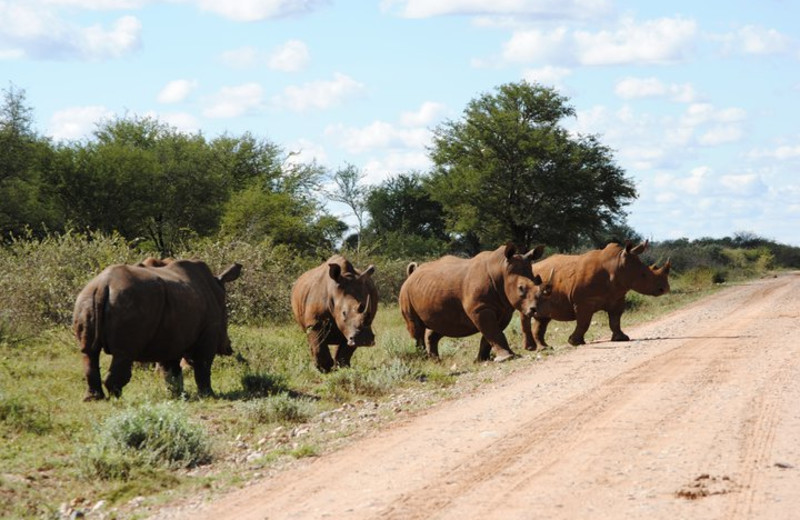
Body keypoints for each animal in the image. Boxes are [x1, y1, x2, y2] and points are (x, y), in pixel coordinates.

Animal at [73, 258, 242, 400]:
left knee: (89, 352)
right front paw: (208, 395)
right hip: (129, 302)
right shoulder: (208, 331)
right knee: (123, 354)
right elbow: (203, 365)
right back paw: (119, 400)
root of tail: (103, 286)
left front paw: (179, 396)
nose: (229, 348)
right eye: (226, 318)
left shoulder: (171, 336)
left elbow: (171, 371)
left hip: (86, 298)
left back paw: (93, 399)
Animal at [400, 243, 552, 362]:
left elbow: (491, 334)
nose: (535, 310)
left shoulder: (504, 309)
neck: (501, 270)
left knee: (440, 325)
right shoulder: (480, 308)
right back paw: (423, 360)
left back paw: (436, 361)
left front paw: (481, 360)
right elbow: (493, 332)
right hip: (405, 292)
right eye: (521, 288)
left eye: (538, 281)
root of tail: (411, 274)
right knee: (416, 329)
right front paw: (507, 357)